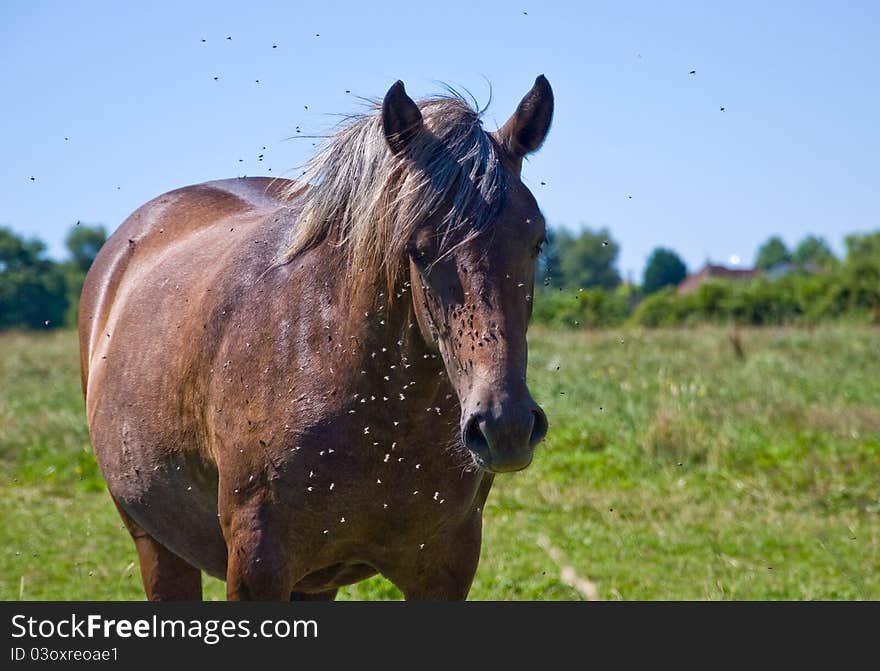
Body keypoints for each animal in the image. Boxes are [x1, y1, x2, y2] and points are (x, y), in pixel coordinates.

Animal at [79, 76, 552, 600]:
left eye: (537, 241)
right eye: (419, 249)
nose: (504, 426)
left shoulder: (445, 570)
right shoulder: (256, 568)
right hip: (157, 546)